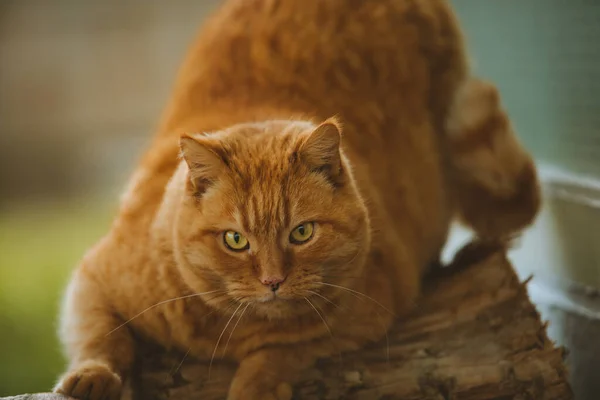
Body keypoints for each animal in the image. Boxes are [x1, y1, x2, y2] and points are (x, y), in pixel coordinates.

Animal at [52, 0, 540, 400]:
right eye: (235, 240)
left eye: (301, 233)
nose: (273, 280)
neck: (228, 330)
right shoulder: (92, 278)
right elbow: (100, 338)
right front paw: (93, 376)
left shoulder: (373, 308)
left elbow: (284, 350)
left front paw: (257, 384)